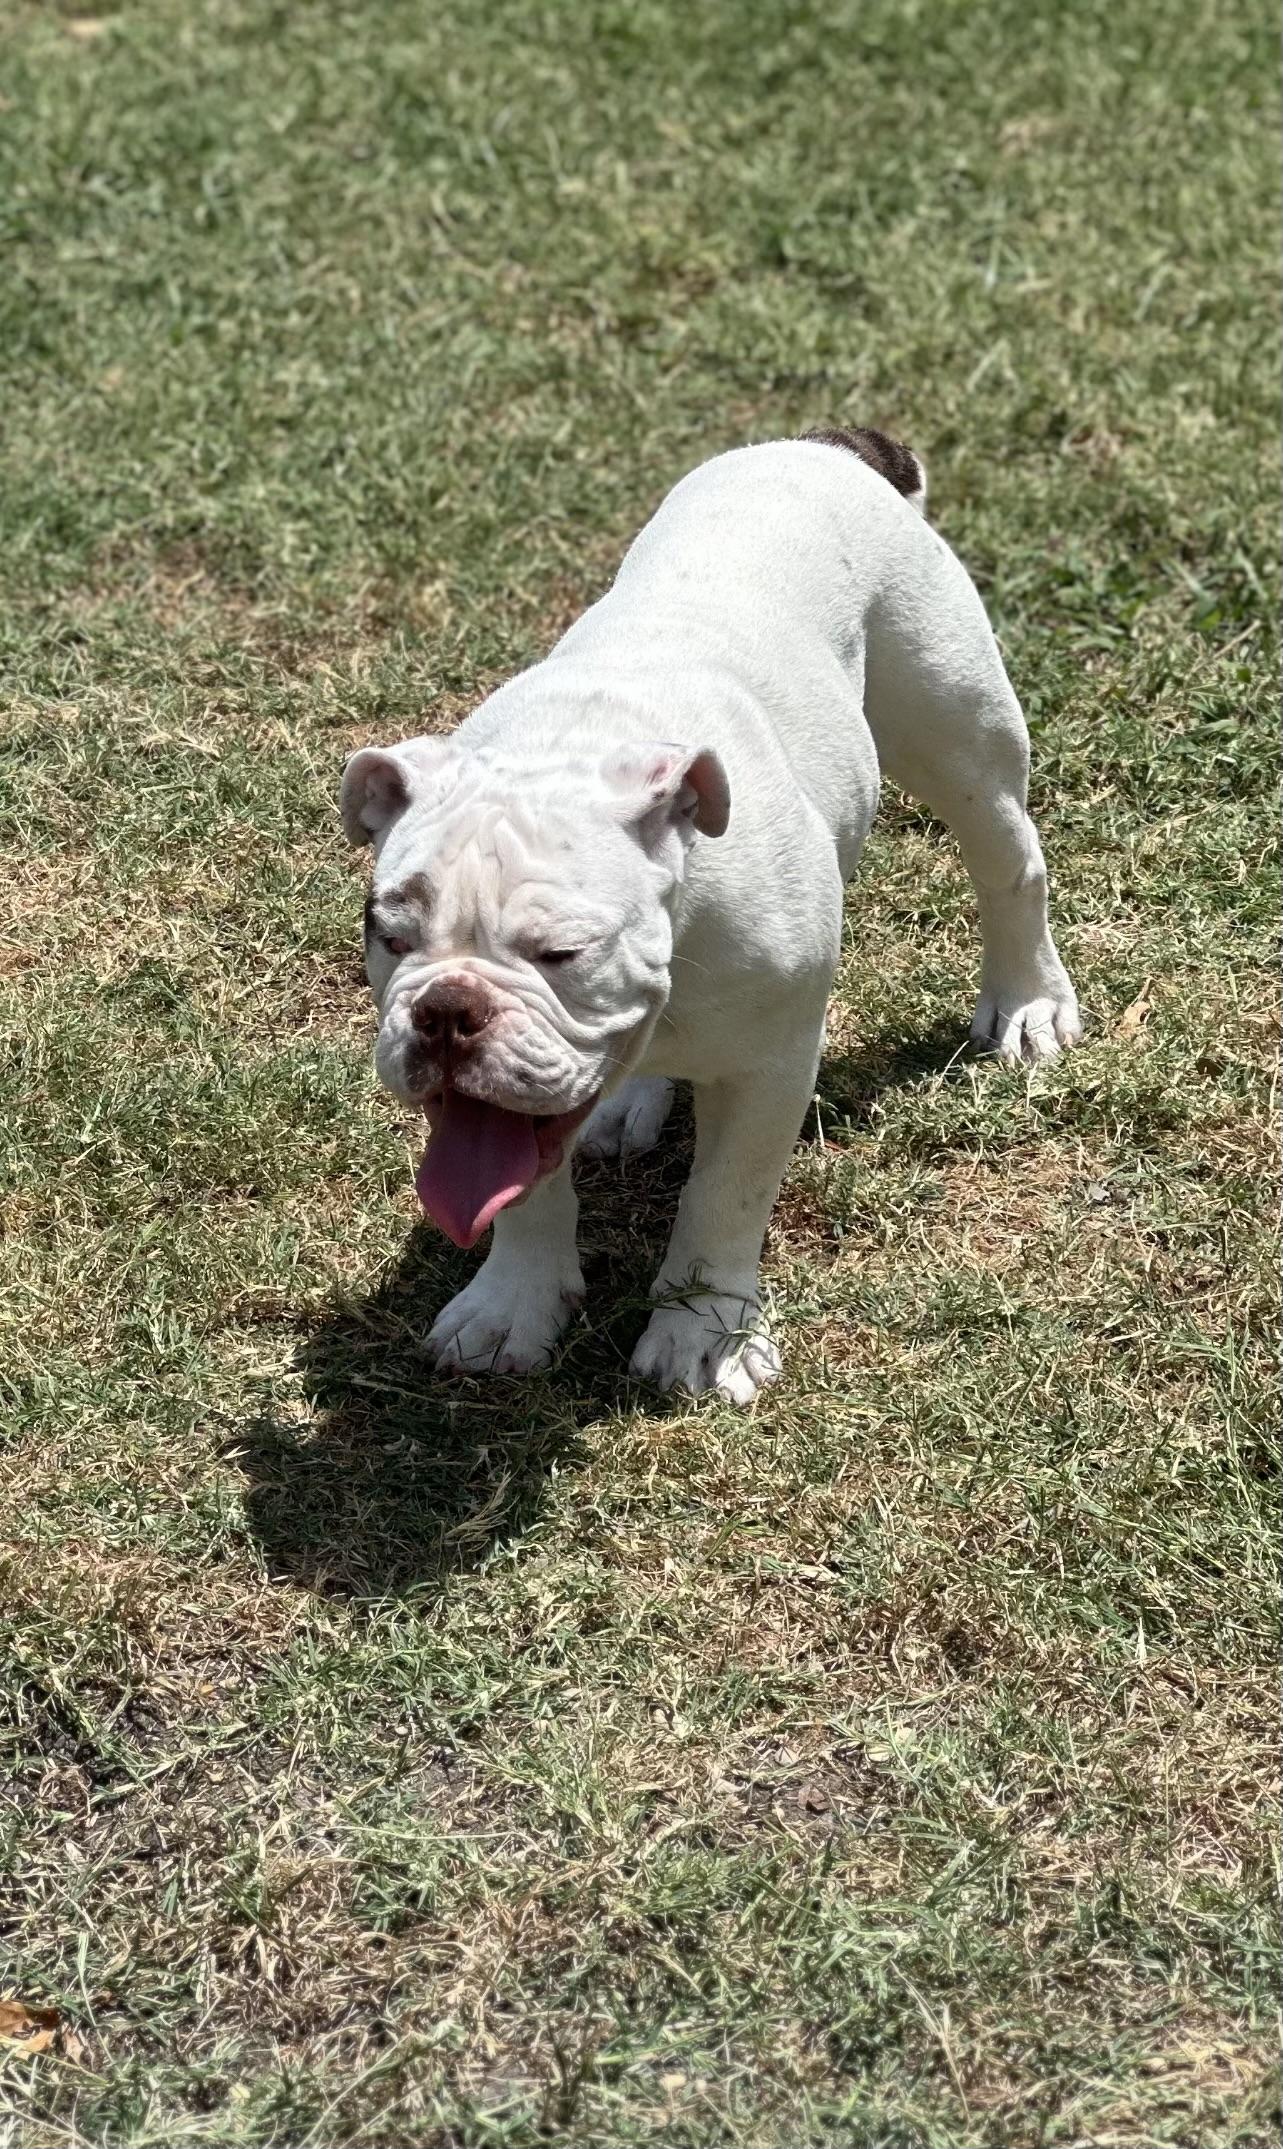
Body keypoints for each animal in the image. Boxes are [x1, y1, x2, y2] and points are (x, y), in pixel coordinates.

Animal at [340, 430, 1081, 1402]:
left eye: (562, 952)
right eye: (388, 936)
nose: (445, 1009)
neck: (569, 748)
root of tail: (823, 444)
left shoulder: (770, 1065)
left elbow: (721, 1199)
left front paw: (704, 1333)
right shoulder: (501, 1106)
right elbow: (527, 1191)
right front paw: (511, 1304)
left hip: (957, 736)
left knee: (1008, 866)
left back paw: (1028, 999)